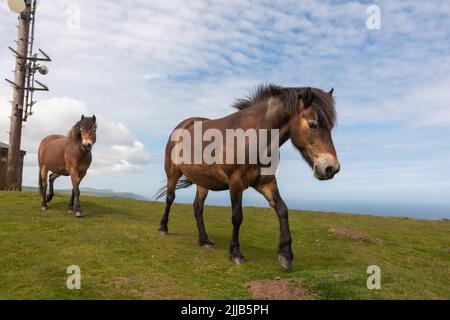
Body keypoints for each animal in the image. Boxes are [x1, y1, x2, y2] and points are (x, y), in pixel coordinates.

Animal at [156, 84, 340, 268]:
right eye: (313, 125)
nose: (331, 168)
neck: (253, 138)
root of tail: (182, 126)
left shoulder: (267, 183)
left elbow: (282, 210)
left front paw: (286, 254)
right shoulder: (236, 184)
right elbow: (237, 217)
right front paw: (236, 253)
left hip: (203, 182)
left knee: (198, 207)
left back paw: (204, 240)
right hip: (172, 174)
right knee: (170, 198)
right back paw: (164, 228)